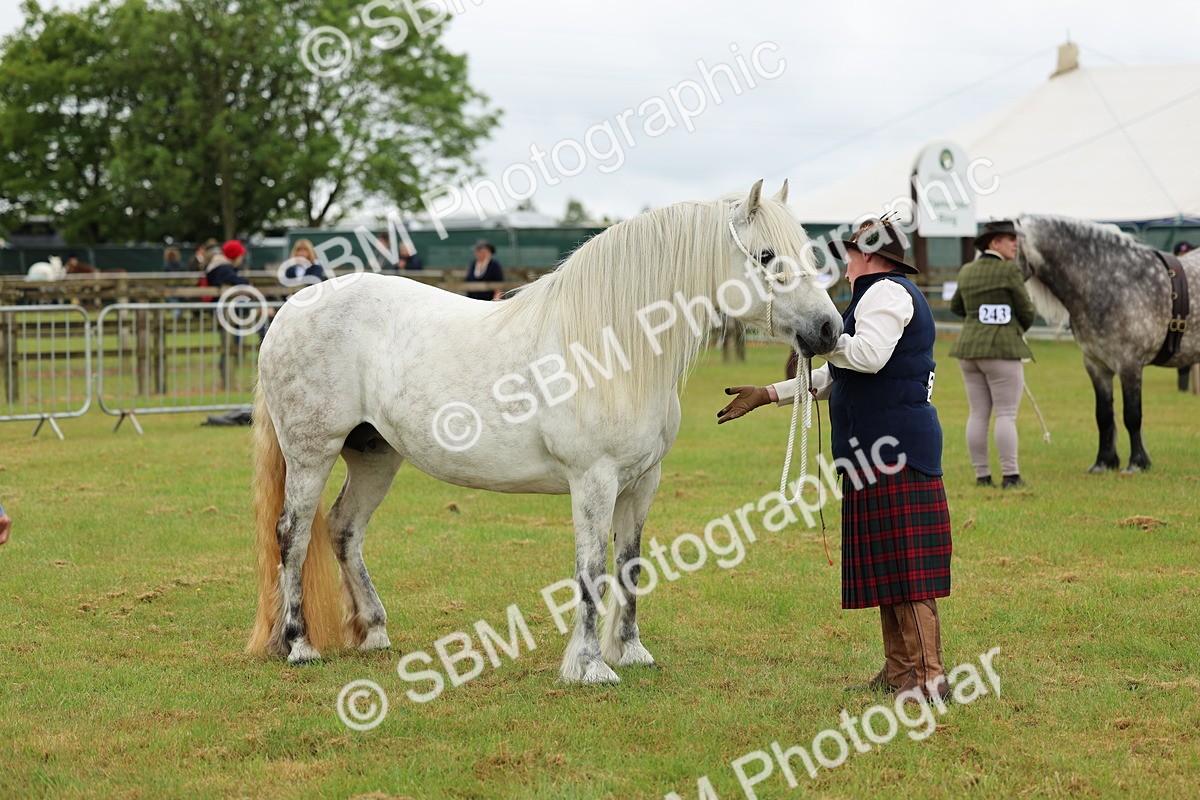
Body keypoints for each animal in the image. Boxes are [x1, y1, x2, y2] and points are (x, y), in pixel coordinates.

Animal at [247, 180, 843, 684]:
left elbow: (629, 564)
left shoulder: (641, 482)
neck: (613, 348)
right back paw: (299, 645)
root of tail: (291, 310)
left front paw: (630, 652)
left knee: (344, 529)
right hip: (311, 454)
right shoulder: (594, 481)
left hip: (375, 455)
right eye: (766, 256)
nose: (829, 329)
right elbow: (592, 570)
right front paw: (590, 667)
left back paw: (373, 632)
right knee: (293, 535)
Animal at [1017, 215, 1200, 473]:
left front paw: (1137, 463)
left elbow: (1132, 415)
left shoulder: (1130, 364)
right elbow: (1103, 416)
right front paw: (1103, 462)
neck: (1112, 282)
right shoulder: (1096, 365)